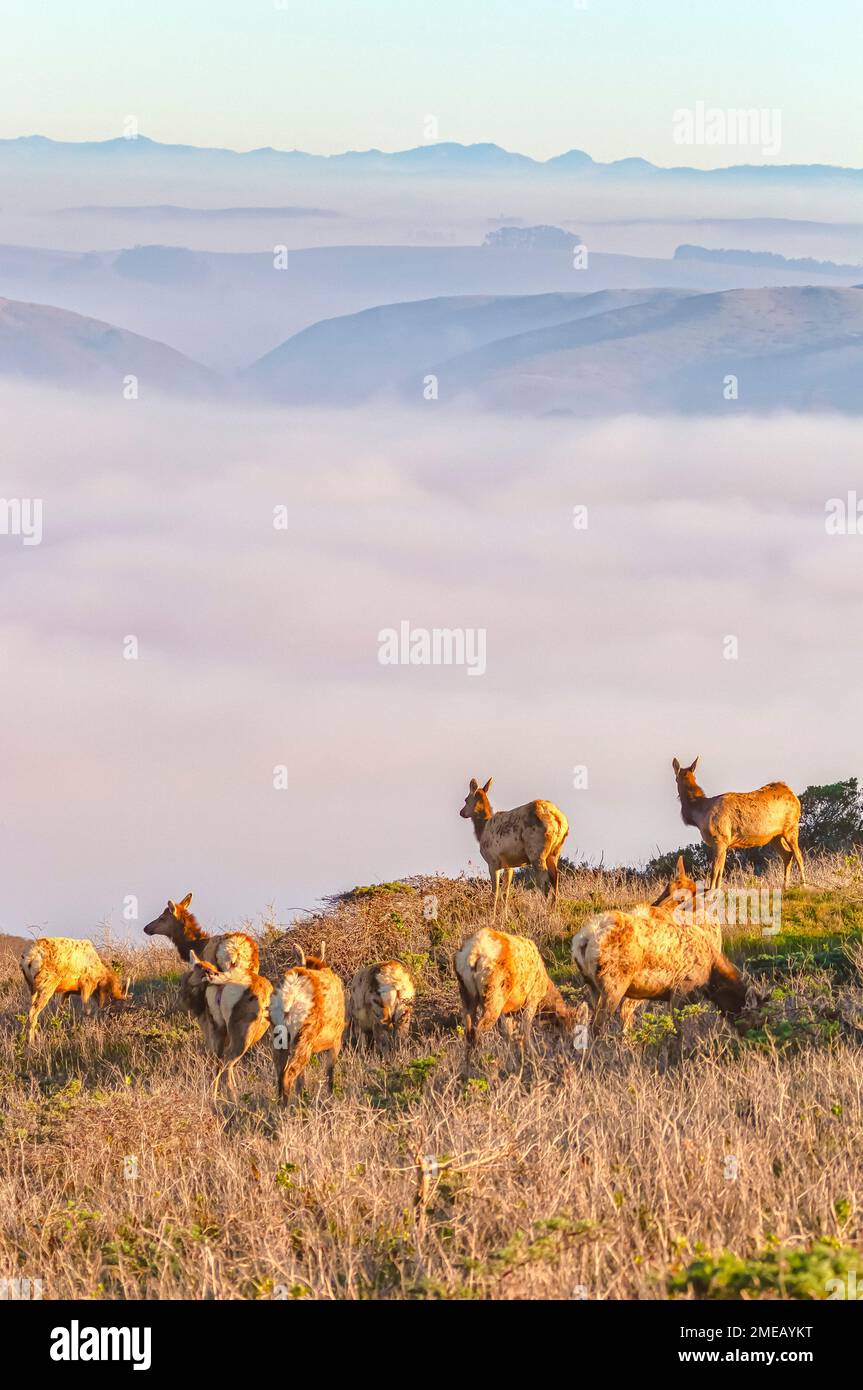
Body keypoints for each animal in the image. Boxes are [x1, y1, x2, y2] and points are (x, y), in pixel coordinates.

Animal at [270, 951, 346, 1107]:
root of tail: (290, 994)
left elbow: (301, 1079)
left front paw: (302, 1099)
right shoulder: (337, 1039)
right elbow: (330, 1073)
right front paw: (331, 1099)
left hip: (279, 1035)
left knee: (280, 1072)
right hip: (306, 1034)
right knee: (288, 1073)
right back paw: (286, 1109)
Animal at [454, 925, 579, 1076]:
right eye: (570, 1026)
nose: (573, 1048)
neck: (545, 992)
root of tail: (472, 956)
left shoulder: (508, 1010)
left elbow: (508, 1035)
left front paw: (513, 1062)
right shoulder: (532, 998)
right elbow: (524, 1030)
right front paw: (534, 1060)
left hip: (466, 994)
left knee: (468, 1032)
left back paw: (466, 1070)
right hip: (494, 995)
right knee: (477, 1031)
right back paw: (479, 1067)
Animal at [459, 777, 569, 919]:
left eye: (466, 799)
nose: (461, 812)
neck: (482, 830)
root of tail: (558, 820)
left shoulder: (492, 860)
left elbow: (495, 892)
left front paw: (492, 918)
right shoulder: (508, 864)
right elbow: (505, 892)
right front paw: (505, 916)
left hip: (536, 851)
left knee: (544, 881)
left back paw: (542, 911)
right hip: (555, 852)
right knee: (555, 877)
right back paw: (553, 910)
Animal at [571, 855, 763, 1041]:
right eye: (757, 1020)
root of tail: (583, 940)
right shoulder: (680, 992)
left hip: (593, 986)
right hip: (614, 984)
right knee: (600, 1026)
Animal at [672, 757, 805, 890]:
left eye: (676, 778)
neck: (699, 815)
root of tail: (793, 795)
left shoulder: (720, 839)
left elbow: (714, 872)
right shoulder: (724, 843)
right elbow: (720, 872)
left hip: (791, 827)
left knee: (799, 855)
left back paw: (803, 884)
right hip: (775, 836)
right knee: (787, 854)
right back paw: (785, 886)